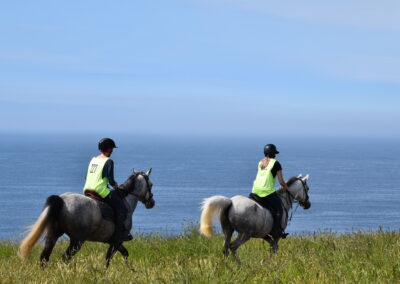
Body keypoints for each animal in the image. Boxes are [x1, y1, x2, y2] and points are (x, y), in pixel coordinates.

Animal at [19, 169, 155, 266]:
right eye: (151, 184)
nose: (151, 203)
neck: (125, 200)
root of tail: (62, 200)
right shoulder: (117, 240)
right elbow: (112, 257)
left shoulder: (113, 241)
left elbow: (120, 255)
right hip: (77, 241)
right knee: (64, 258)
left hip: (53, 234)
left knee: (44, 257)